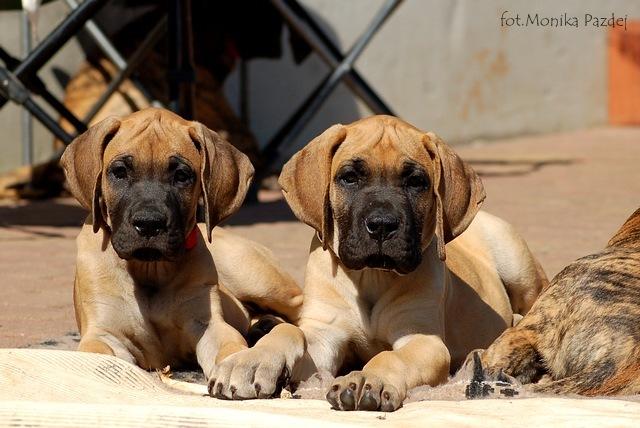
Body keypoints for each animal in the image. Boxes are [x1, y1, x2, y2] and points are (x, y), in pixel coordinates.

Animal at [58, 108, 302, 382]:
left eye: (182, 176)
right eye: (119, 172)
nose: (149, 224)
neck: (149, 271)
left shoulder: (208, 325)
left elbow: (229, 346)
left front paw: (239, 366)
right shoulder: (103, 334)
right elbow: (104, 360)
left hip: (254, 277)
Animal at [206, 115, 552, 410]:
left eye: (416, 182)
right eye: (349, 178)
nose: (383, 224)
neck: (371, 276)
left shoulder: (424, 340)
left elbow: (390, 357)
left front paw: (367, 378)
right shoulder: (324, 337)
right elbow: (291, 332)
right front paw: (249, 361)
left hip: (514, 259)